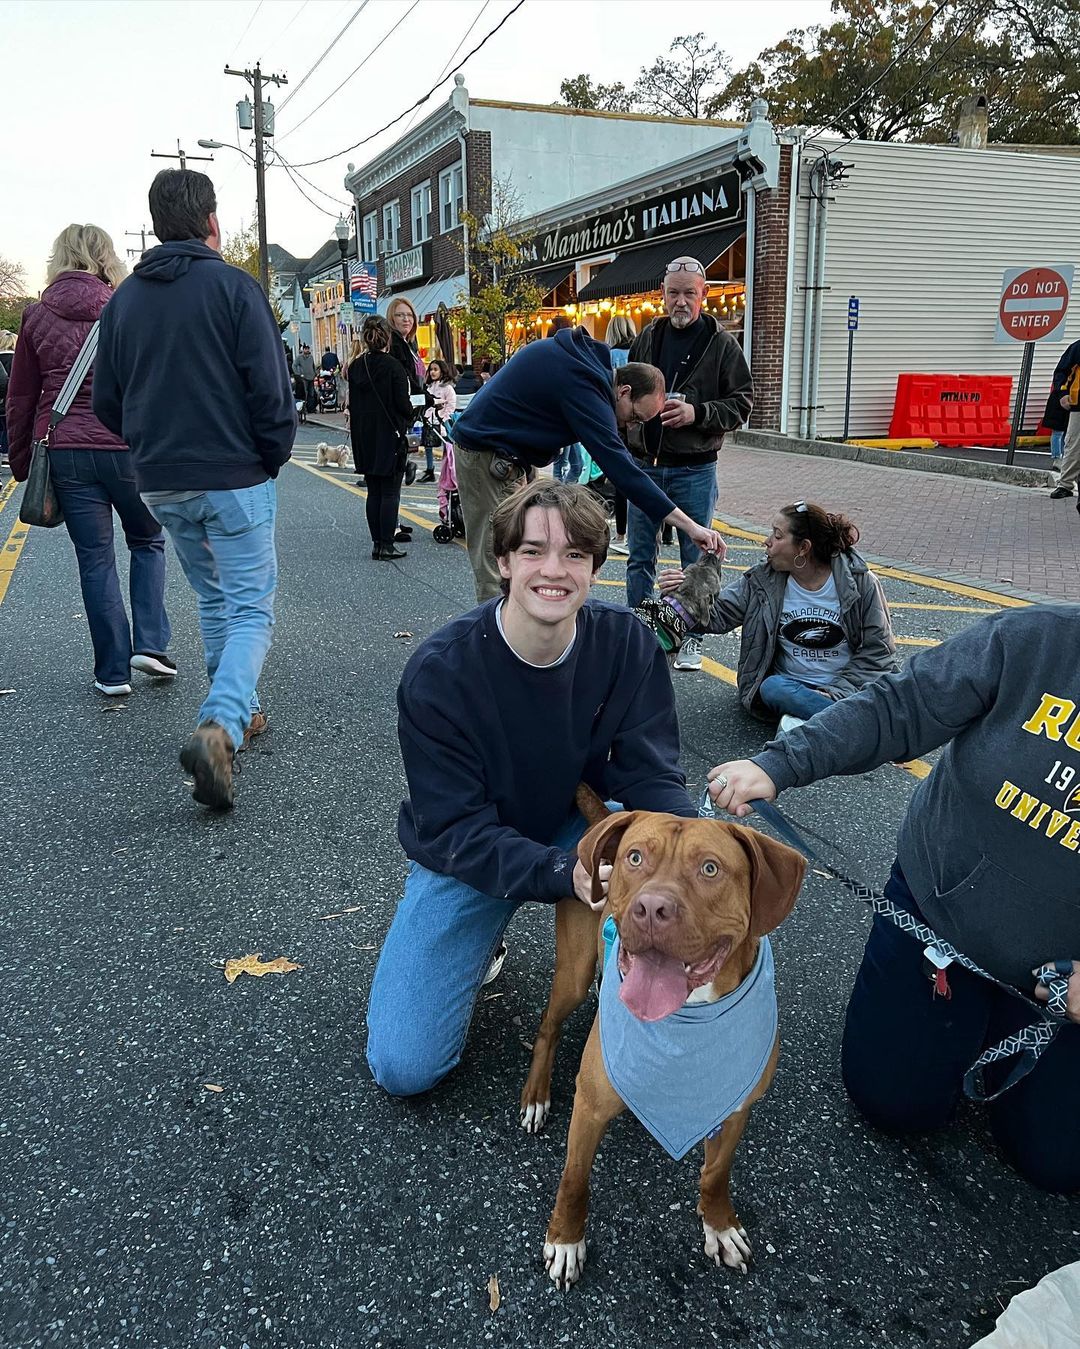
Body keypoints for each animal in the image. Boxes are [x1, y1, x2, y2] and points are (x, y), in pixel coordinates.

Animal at [525, 793, 803, 1289]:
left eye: (710, 869)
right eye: (635, 858)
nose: (651, 908)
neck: (685, 1016)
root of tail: (603, 820)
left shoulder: (736, 1109)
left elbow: (716, 1174)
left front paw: (719, 1225)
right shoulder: (591, 1104)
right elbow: (575, 1179)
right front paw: (565, 1240)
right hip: (573, 973)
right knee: (548, 1027)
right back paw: (536, 1095)